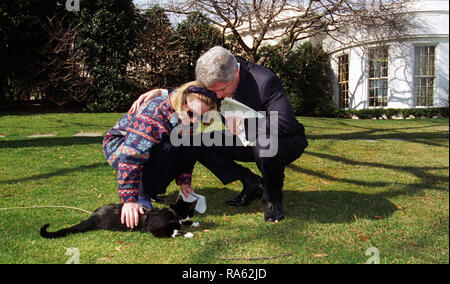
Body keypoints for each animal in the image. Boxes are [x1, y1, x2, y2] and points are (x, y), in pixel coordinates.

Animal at [40, 195, 199, 240]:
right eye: (192, 211)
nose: (194, 215)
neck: (172, 213)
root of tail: (94, 215)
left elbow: (181, 223)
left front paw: (194, 223)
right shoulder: (157, 230)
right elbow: (174, 230)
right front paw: (188, 233)